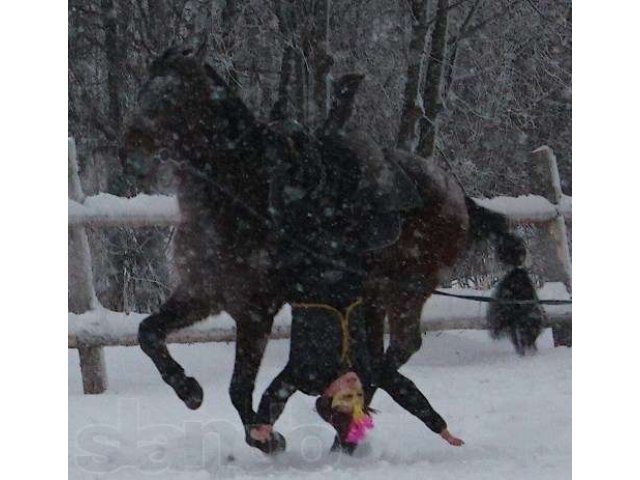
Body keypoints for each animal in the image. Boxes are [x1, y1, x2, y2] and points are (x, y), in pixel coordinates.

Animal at [126, 47, 544, 436]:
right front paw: (189, 390)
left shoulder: (255, 308)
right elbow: (148, 333)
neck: (245, 192)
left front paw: (265, 436)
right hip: (374, 298)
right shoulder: (203, 293)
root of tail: (458, 197)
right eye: (143, 90)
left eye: (170, 94)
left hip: (407, 290)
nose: (129, 146)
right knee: (379, 353)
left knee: (399, 349)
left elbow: (239, 388)